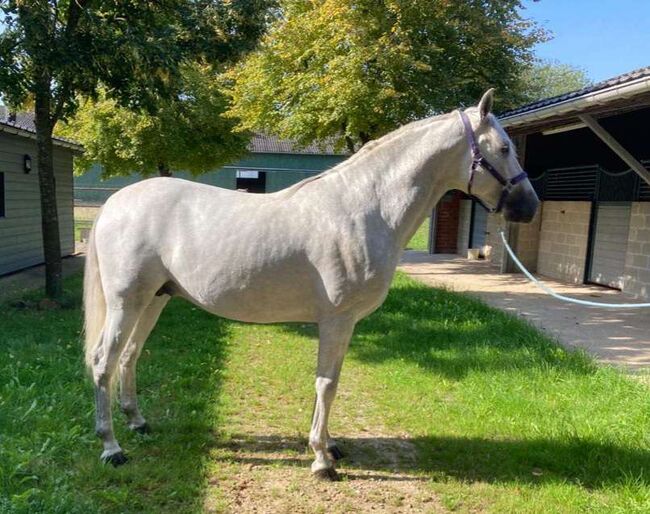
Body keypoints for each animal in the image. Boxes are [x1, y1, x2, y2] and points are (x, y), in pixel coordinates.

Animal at [82, 90, 536, 478]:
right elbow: (326, 384)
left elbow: (332, 380)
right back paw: (112, 448)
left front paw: (330, 446)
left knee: (129, 357)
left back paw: (138, 422)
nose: (529, 206)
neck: (364, 208)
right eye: (503, 148)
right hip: (127, 302)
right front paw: (321, 459)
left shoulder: (344, 324)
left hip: (154, 300)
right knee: (104, 361)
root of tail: (116, 203)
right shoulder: (337, 319)